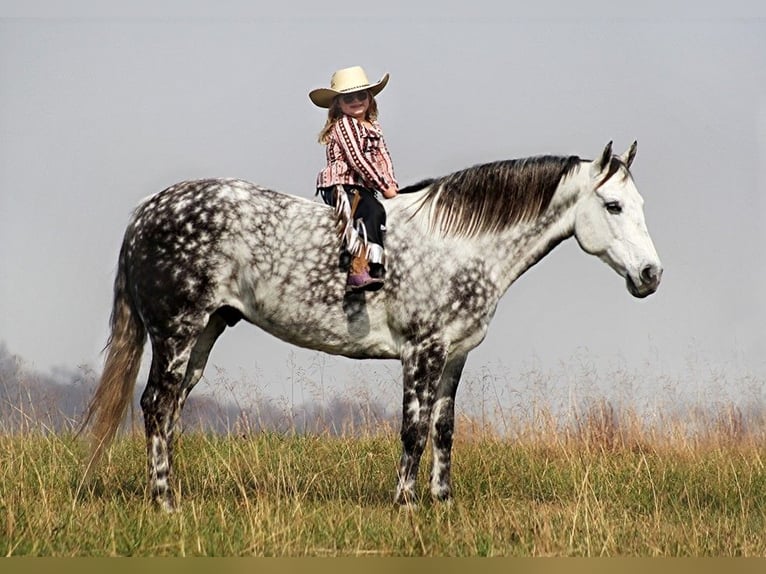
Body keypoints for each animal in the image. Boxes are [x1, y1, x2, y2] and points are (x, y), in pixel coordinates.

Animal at [81, 142, 664, 510]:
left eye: (638, 204)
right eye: (613, 205)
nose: (650, 275)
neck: (461, 244)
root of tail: (146, 212)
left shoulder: (455, 355)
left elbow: (444, 430)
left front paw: (442, 503)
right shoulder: (422, 351)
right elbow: (413, 429)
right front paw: (405, 505)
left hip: (204, 333)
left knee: (172, 409)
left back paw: (171, 493)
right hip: (176, 332)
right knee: (156, 406)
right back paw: (164, 502)